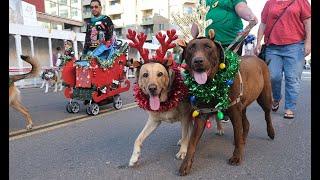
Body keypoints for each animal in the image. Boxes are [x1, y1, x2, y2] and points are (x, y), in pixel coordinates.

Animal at [178, 26, 276, 175]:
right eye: (190, 49)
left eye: (208, 47)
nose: (198, 61)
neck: (210, 84)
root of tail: (260, 59)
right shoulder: (202, 114)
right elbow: (192, 142)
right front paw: (186, 164)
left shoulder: (234, 111)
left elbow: (236, 133)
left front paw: (237, 156)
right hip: (242, 105)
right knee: (246, 124)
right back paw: (243, 140)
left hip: (264, 97)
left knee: (267, 114)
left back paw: (270, 132)